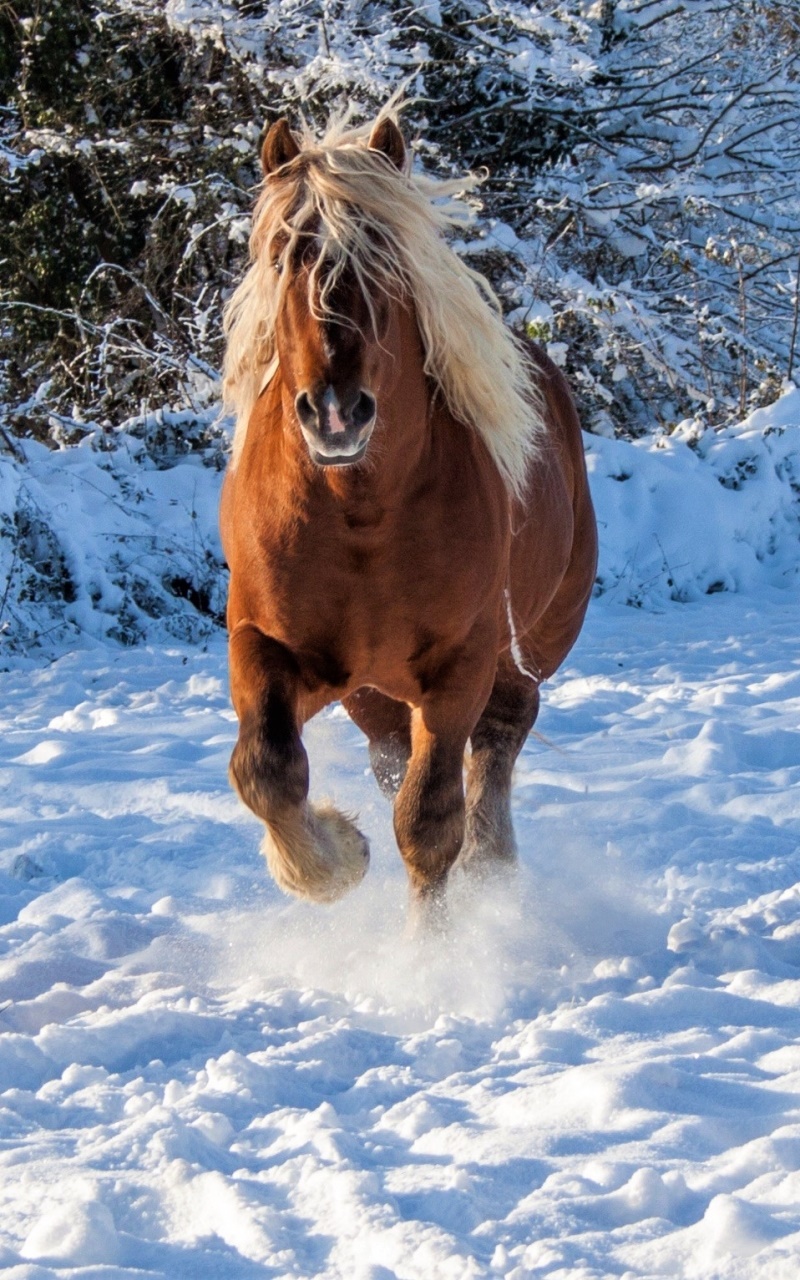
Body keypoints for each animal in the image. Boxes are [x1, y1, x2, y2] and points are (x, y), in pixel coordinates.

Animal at [219, 110, 598, 929]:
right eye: (282, 255)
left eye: (383, 257)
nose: (336, 411)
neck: (359, 516)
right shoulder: (265, 643)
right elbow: (267, 771)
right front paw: (334, 858)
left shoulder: (459, 666)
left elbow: (429, 823)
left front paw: (435, 951)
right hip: (373, 691)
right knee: (394, 759)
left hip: (522, 651)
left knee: (500, 741)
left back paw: (492, 868)